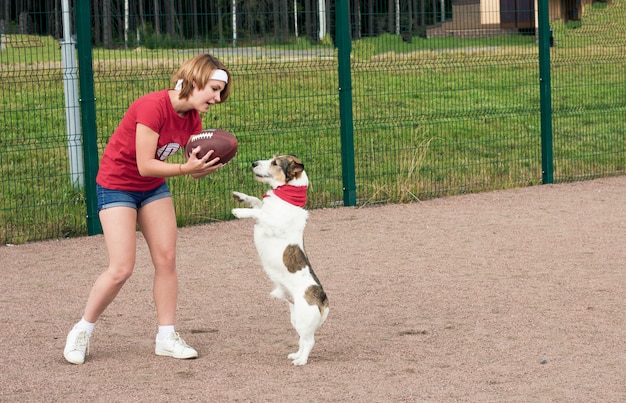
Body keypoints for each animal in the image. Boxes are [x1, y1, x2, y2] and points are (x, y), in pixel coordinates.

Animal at [232, 154, 330, 366]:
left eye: (275, 163)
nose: (253, 163)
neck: (287, 197)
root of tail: (324, 299)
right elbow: (256, 202)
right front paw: (240, 196)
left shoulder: (271, 221)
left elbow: (258, 212)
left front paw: (238, 211)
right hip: (296, 319)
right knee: (302, 340)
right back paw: (296, 355)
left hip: (304, 318)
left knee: (309, 341)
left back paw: (301, 361)